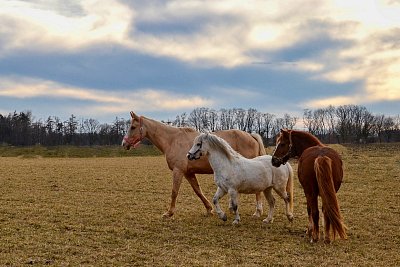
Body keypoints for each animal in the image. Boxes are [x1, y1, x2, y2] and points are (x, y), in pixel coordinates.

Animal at [121, 112, 266, 219]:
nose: (124, 143)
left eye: (133, 127)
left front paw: (169, 213)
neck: (172, 140)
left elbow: (174, 191)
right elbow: (198, 191)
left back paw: (257, 212)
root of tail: (251, 136)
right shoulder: (188, 173)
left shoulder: (178, 171)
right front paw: (209, 209)